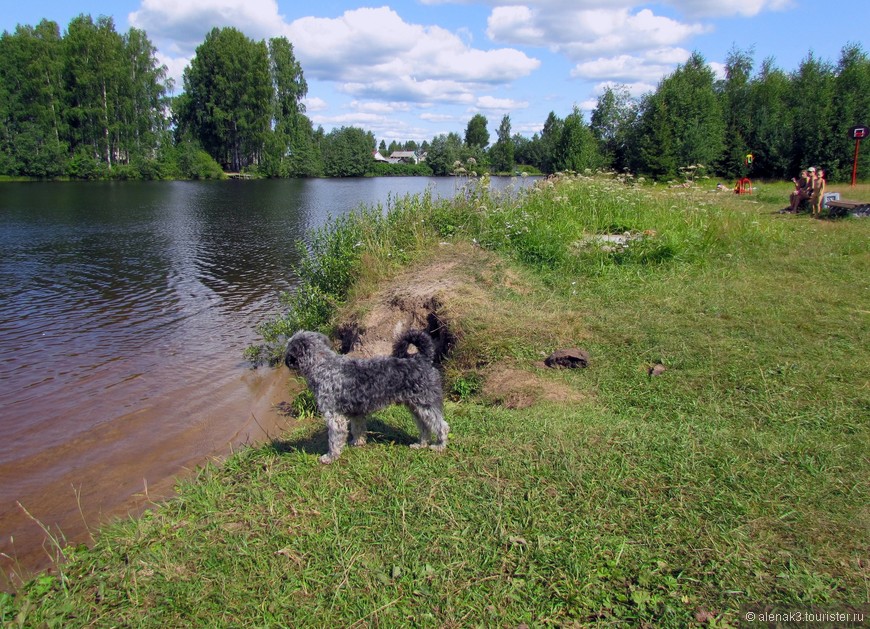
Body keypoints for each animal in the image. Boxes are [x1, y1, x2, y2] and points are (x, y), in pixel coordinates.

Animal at [284, 328, 450, 462]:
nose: (286, 362)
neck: (324, 367)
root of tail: (422, 359)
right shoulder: (356, 413)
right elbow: (357, 429)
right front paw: (357, 443)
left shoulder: (334, 417)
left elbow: (334, 439)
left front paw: (331, 457)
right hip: (415, 407)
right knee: (425, 427)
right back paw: (421, 444)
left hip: (426, 405)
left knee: (442, 426)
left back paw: (439, 446)